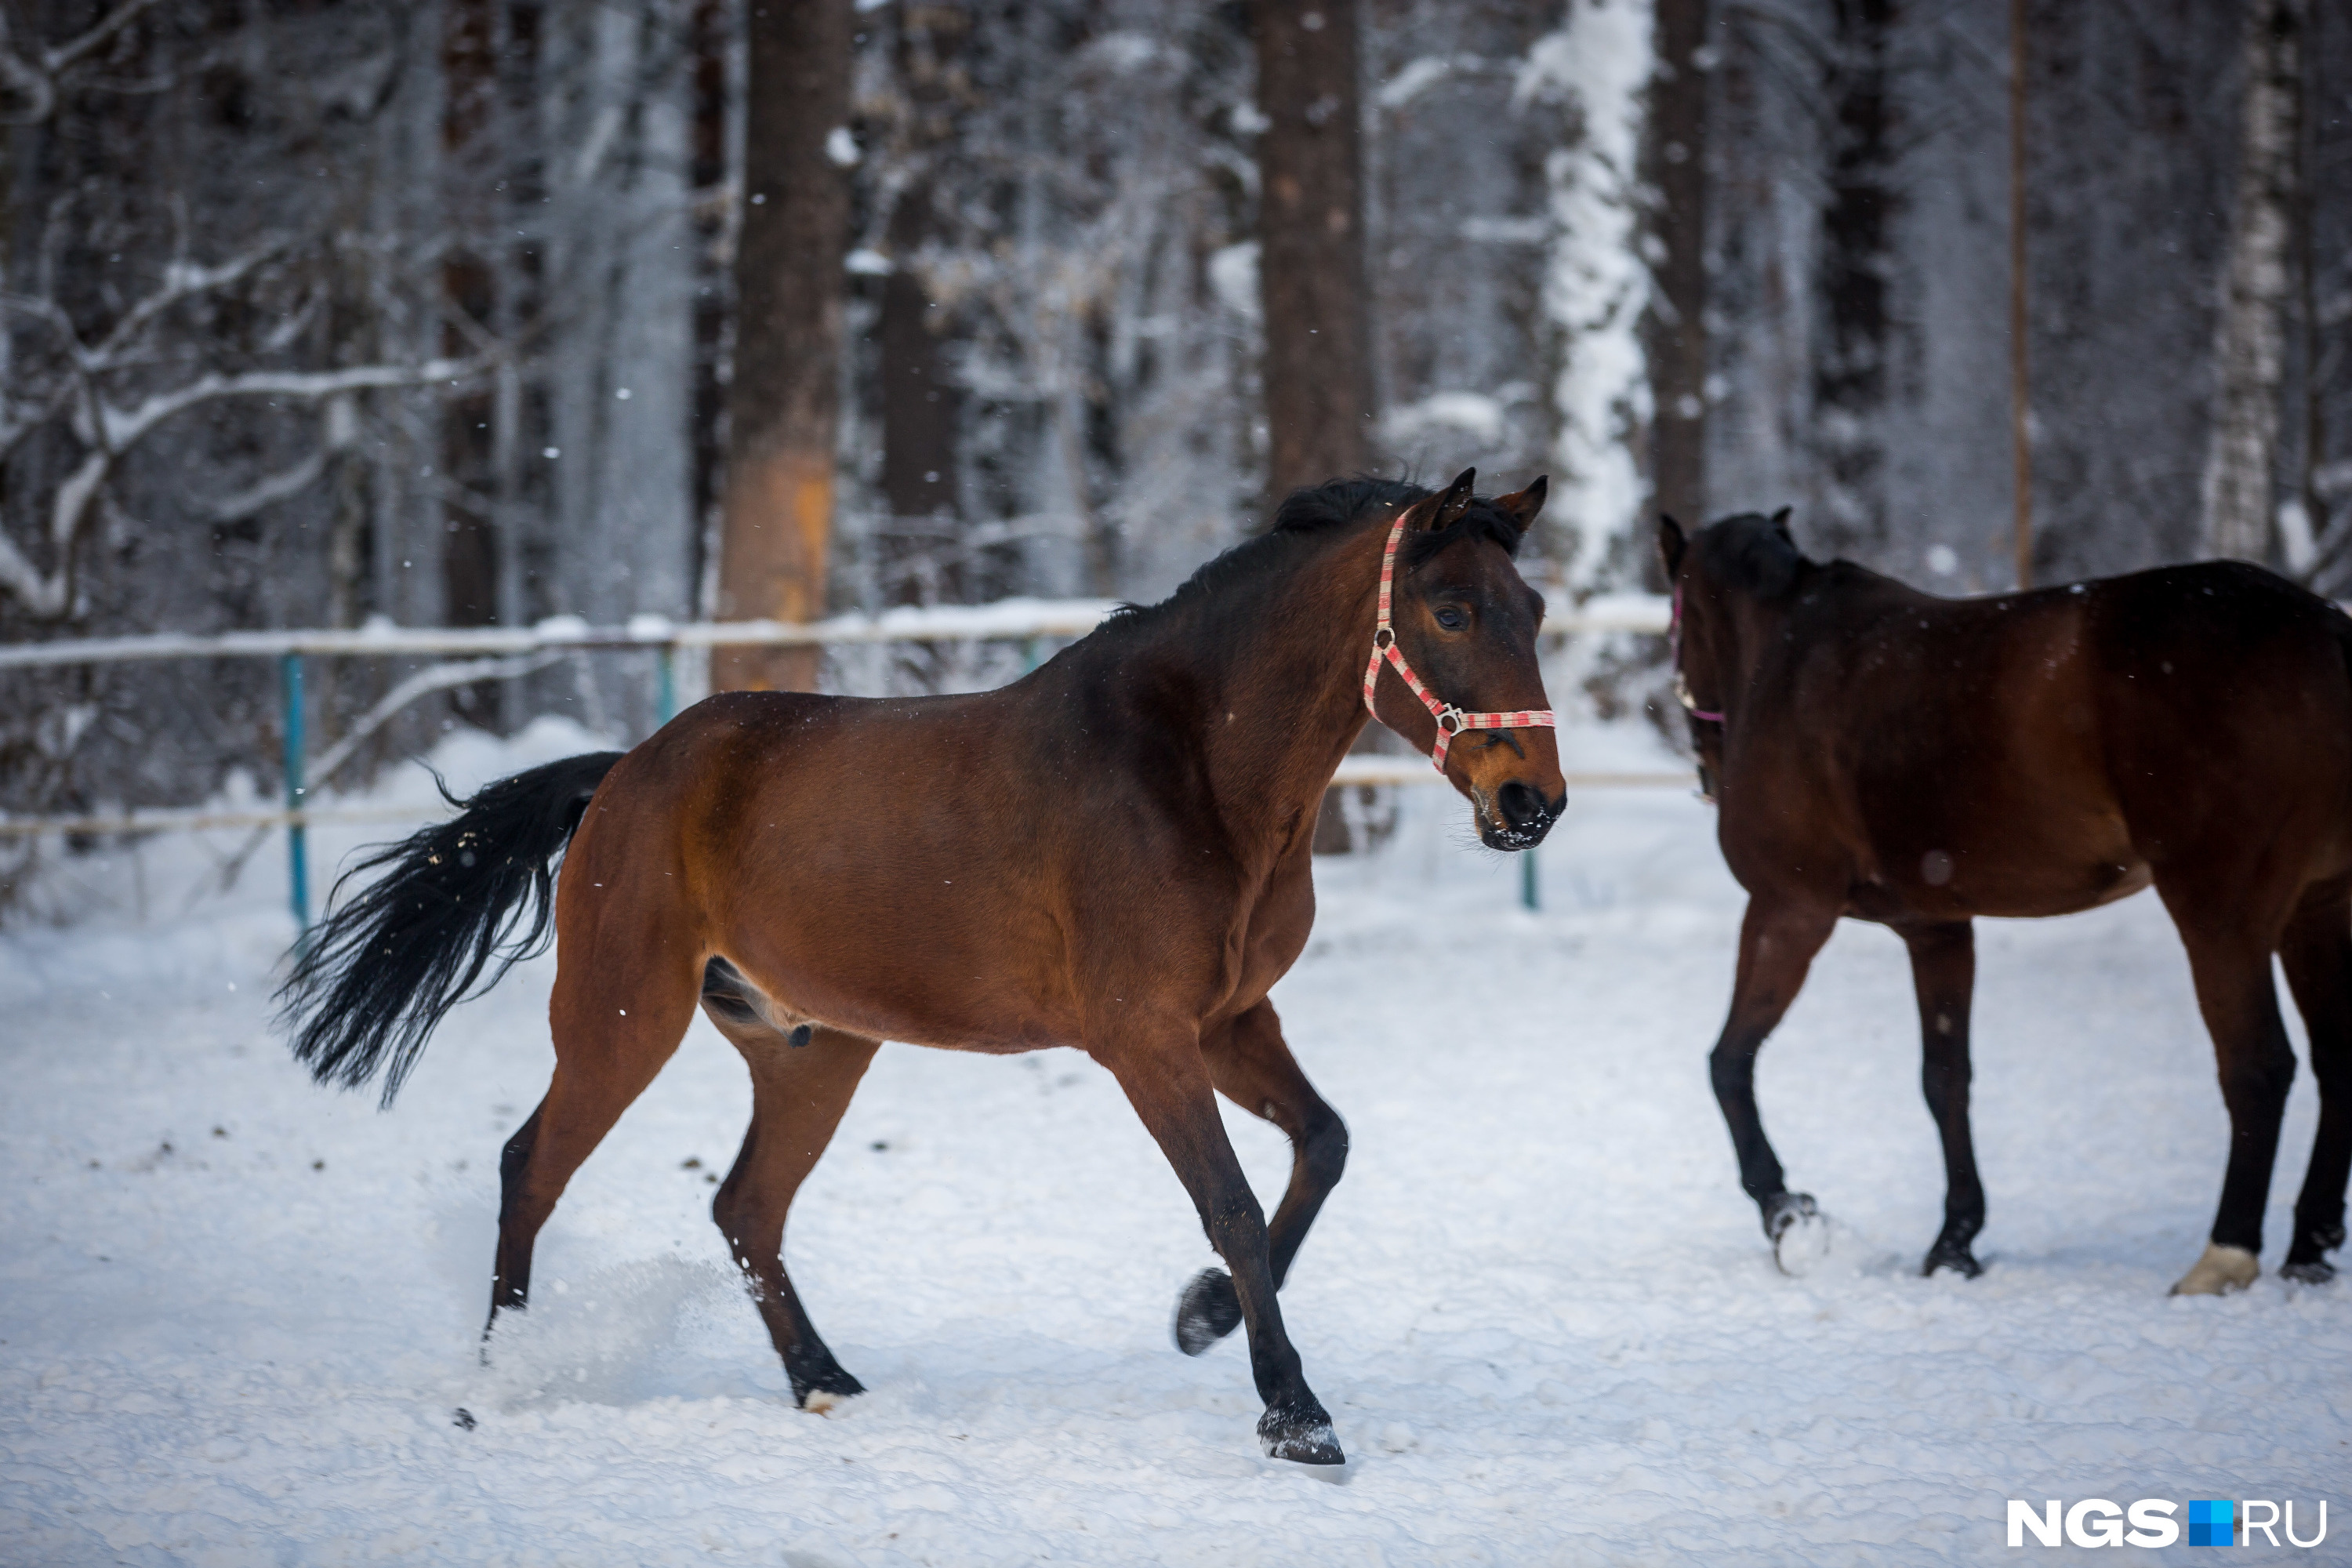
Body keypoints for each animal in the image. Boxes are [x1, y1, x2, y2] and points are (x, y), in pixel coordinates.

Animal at [275, 472, 1562, 1467]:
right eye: (1450, 610)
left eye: (1536, 608)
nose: (1530, 802)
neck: (1190, 770)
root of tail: (626, 773)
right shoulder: (1144, 1037)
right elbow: (1236, 1206)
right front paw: (1295, 1414)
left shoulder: (1232, 1020)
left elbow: (1324, 1145)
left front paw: (1199, 1319)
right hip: (622, 1016)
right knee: (532, 1167)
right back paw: (499, 1384)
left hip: (814, 1047)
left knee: (744, 1205)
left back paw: (824, 1381)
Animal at [1665, 514, 2352, 1298]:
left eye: (1677, 624)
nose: (1708, 770)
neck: (1786, 648)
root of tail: (2327, 629)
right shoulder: (1935, 929)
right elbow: (1945, 1080)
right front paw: (1954, 1243)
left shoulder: (1788, 911)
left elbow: (1729, 1063)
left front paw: (1789, 1216)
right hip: (2314, 911)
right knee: (2335, 1059)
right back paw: (2310, 1248)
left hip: (2222, 918)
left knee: (2257, 1066)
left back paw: (2224, 1256)